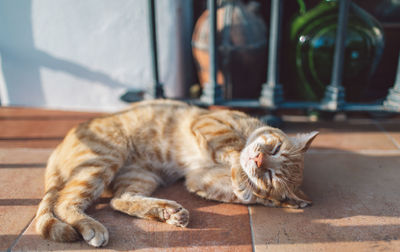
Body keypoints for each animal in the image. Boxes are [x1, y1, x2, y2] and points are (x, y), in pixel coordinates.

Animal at [35, 99, 318, 247]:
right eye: (276, 148)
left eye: (271, 176)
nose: (258, 160)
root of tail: (57, 148)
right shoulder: (211, 123)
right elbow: (235, 150)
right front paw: (243, 179)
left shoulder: (201, 179)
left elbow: (246, 192)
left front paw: (262, 195)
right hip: (103, 161)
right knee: (63, 203)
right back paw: (92, 227)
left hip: (139, 175)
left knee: (119, 200)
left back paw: (167, 212)